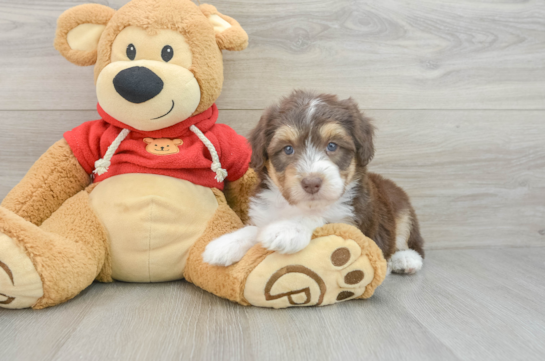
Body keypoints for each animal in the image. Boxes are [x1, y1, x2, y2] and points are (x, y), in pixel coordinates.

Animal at [202, 90, 422, 272]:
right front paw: (226, 243)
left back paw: (405, 259)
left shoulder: (356, 223)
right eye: (288, 149)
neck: (300, 205)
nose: (311, 183)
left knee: (412, 242)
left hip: (402, 208)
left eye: (332, 146)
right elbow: (255, 228)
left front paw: (287, 229)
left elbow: (322, 217)